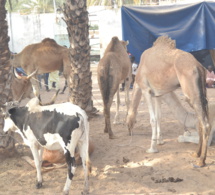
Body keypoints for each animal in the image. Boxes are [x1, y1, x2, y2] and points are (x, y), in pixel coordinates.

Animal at [127, 35, 211, 167]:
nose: (129, 131)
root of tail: (198, 66)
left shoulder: (146, 90)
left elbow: (153, 119)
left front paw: (152, 148)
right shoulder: (157, 94)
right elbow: (159, 117)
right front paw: (160, 141)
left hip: (191, 93)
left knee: (205, 123)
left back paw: (201, 160)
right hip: (202, 93)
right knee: (201, 122)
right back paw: (196, 153)